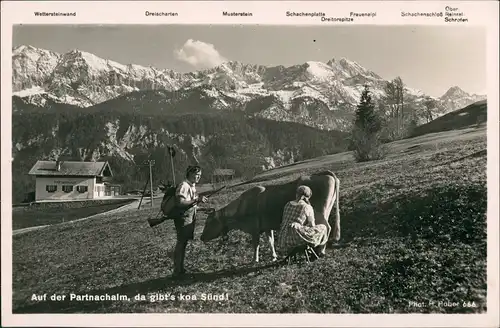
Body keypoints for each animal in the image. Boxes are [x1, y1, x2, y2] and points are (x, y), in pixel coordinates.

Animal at [199, 170, 340, 262]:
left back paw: (320, 251)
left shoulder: (254, 228)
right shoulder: (267, 227)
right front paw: (274, 256)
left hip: (320, 213)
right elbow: (271, 242)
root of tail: (321, 174)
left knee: (327, 227)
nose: (201, 237)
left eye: (209, 221)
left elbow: (256, 244)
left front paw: (254, 260)